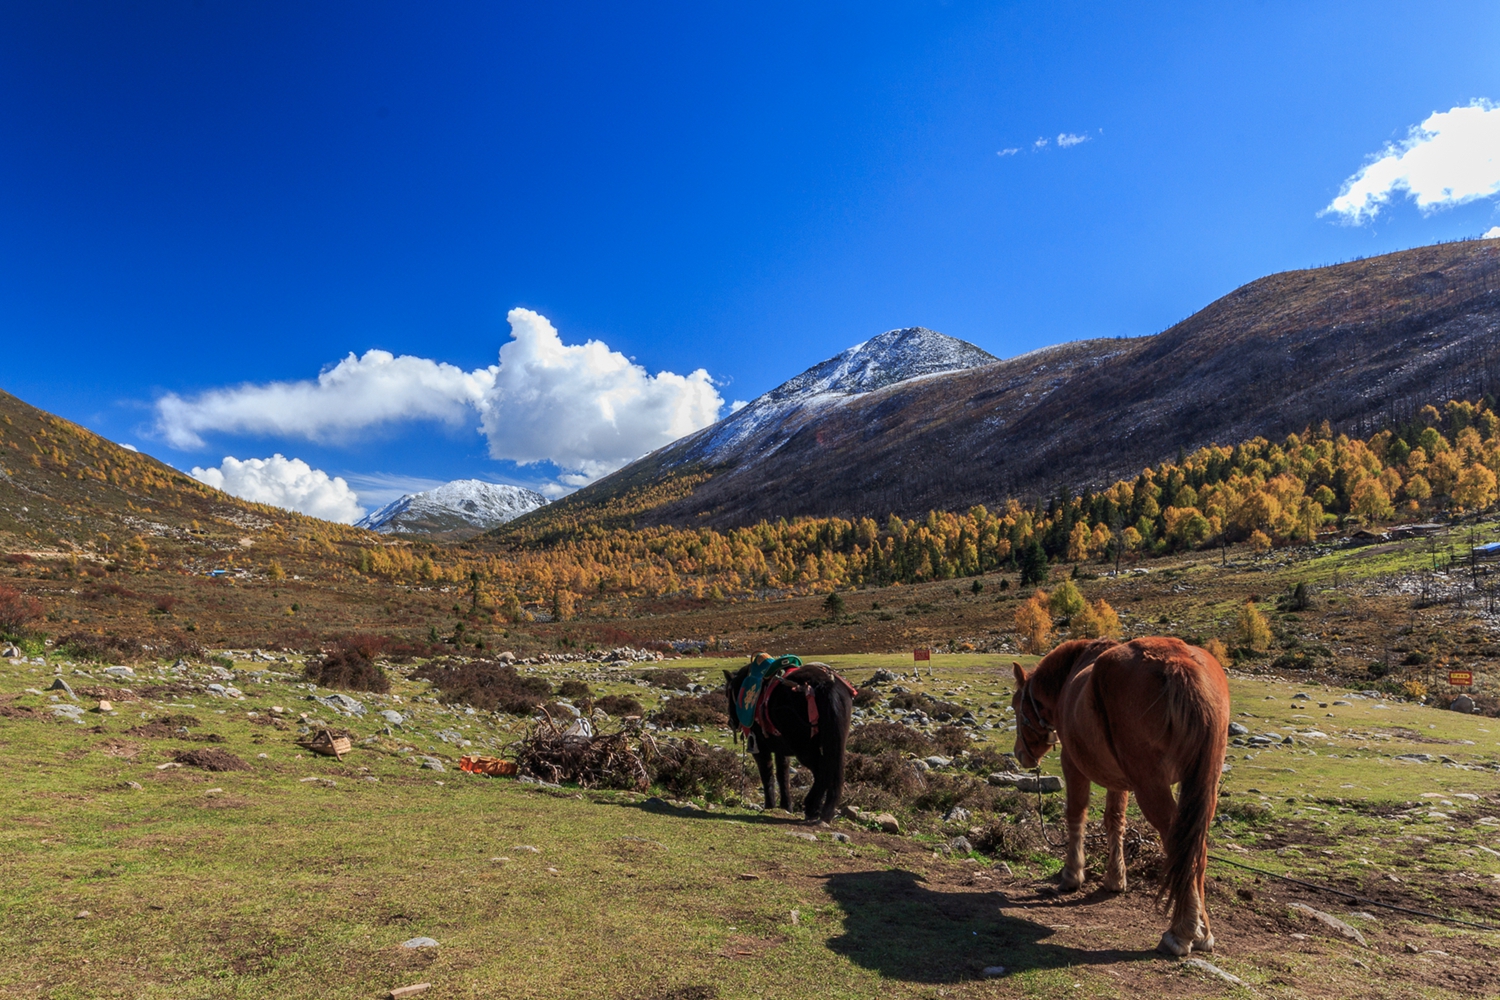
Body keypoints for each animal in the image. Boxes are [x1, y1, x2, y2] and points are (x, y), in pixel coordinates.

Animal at [1008, 638, 1230, 959]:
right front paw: (1115, 878)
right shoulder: (1119, 780)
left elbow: (1076, 814)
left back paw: (1181, 931)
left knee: (1179, 843)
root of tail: (1180, 664)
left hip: (1151, 785)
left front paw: (1072, 874)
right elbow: (1115, 820)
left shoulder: (1072, 763)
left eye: (1016, 705)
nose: (1020, 754)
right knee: (1197, 846)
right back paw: (1202, 930)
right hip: (1203, 787)